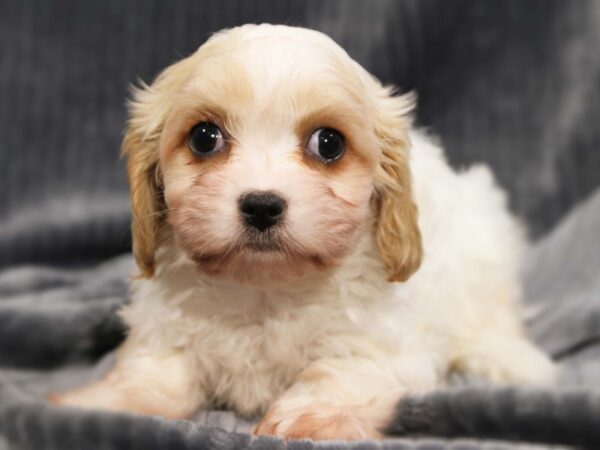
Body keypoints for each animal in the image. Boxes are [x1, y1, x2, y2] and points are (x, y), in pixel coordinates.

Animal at [52, 23, 556, 440]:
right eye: (203, 138)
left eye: (328, 144)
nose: (261, 204)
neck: (266, 290)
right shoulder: (165, 334)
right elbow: (156, 378)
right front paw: (98, 403)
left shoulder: (383, 346)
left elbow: (340, 374)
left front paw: (310, 417)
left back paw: (513, 359)